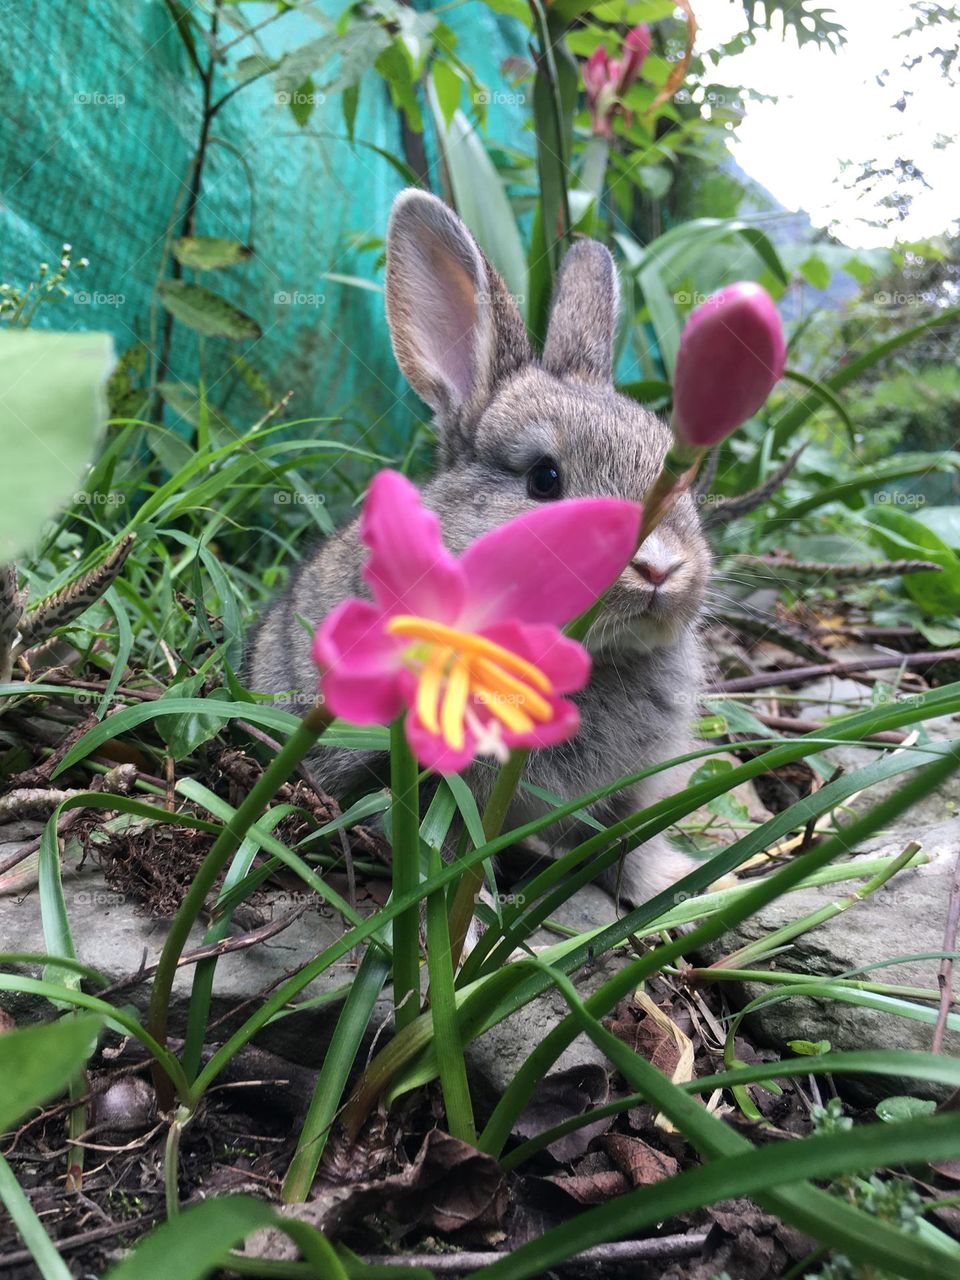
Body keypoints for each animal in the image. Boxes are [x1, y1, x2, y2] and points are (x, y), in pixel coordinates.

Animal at [248, 189, 716, 911]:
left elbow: (629, 845)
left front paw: (677, 891)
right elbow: (451, 861)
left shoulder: (633, 792)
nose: (661, 568)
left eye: (682, 478)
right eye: (544, 480)